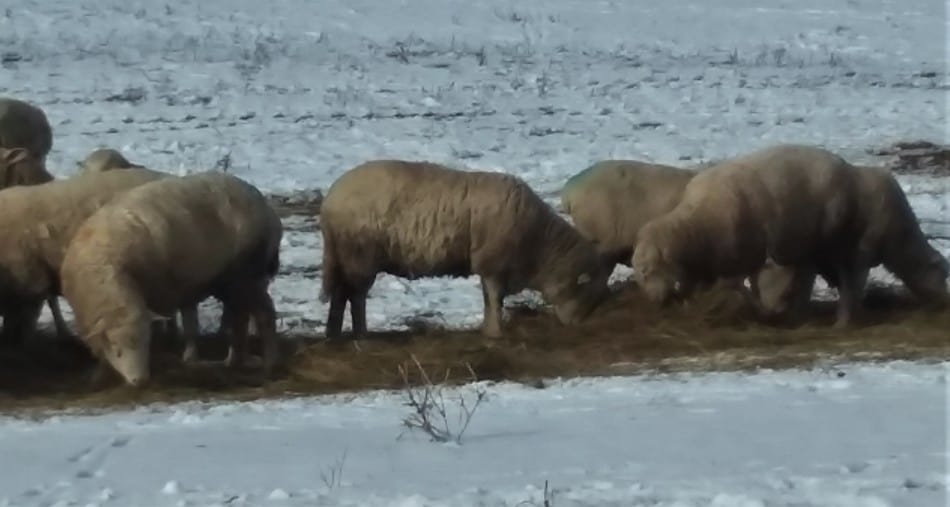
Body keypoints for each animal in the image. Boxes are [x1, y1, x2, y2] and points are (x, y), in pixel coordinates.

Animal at [59, 173, 280, 386]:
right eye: (117, 350)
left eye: (145, 342)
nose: (140, 380)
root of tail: (265, 207)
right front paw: (99, 375)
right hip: (228, 282)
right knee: (240, 316)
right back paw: (233, 362)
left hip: (247, 274)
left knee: (264, 313)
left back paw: (268, 365)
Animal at [324, 161, 612, 340]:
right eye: (587, 292)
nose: (576, 326)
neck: (539, 245)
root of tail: (331, 200)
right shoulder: (494, 262)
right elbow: (495, 299)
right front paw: (495, 332)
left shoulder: (488, 266)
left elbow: (487, 298)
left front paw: (487, 328)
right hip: (360, 255)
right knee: (356, 296)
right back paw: (361, 334)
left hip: (345, 256)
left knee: (340, 293)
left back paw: (334, 334)